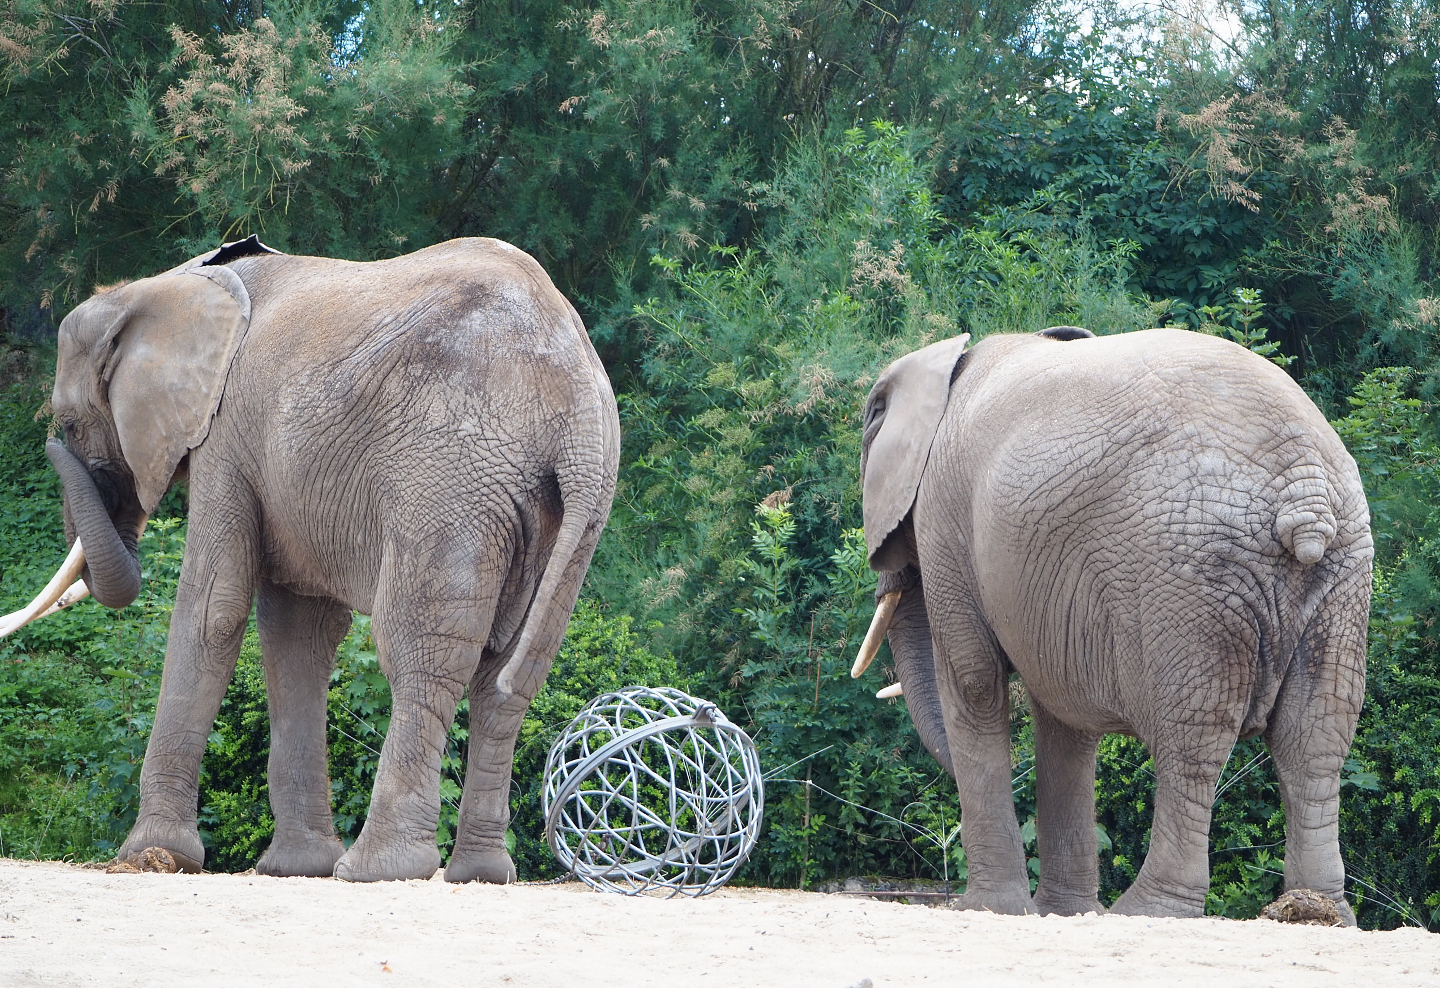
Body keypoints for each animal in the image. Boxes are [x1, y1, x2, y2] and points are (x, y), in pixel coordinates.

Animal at [1, 235, 620, 883]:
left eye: (69, 423)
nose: (53, 444)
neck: (164, 285)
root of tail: (575, 406)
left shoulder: (225, 434)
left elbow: (212, 612)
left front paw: (154, 857)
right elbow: (298, 632)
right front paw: (298, 866)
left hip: (450, 474)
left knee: (421, 651)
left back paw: (378, 868)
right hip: (574, 510)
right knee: (512, 675)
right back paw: (480, 873)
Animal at [850, 326, 1371, 922]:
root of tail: (1302, 486)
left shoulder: (943, 513)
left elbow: (974, 680)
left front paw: (987, 910)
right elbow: (1062, 714)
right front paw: (1062, 914)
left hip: (1188, 570)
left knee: (1194, 736)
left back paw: (1146, 909)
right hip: (1341, 568)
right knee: (1317, 734)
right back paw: (1319, 912)